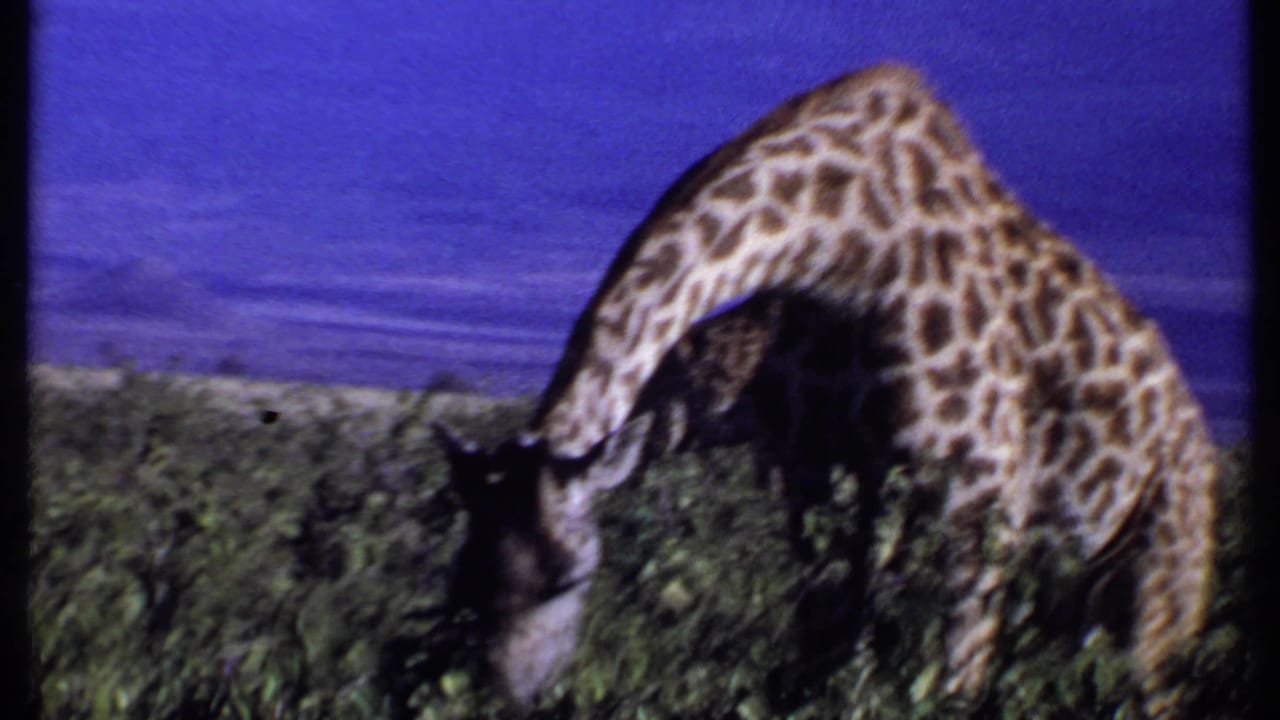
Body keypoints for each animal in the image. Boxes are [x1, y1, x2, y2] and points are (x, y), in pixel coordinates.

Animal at [436, 63, 1217, 716]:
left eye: (572, 578)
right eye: (464, 577)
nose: (504, 701)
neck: (844, 246)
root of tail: (1195, 432)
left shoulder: (979, 489)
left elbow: (953, 677)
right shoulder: (817, 477)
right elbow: (825, 655)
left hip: (1162, 569)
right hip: (1083, 591)